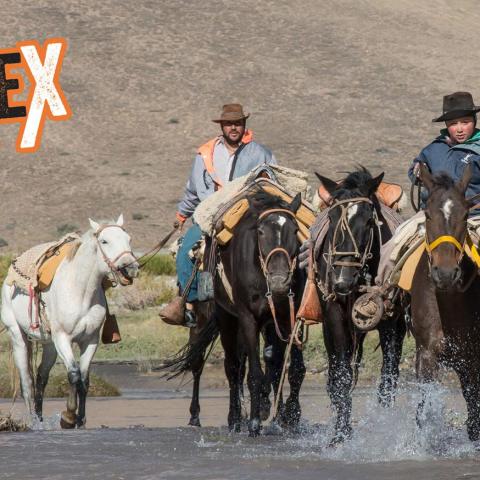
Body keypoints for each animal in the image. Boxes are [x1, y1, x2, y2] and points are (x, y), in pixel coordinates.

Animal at [1, 215, 140, 428]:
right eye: (104, 241)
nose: (129, 269)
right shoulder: (63, 339)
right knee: (27, 382)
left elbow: (84, 379)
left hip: (49, 345)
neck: (80, 290)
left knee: (41, 378)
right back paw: (34, 421)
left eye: (129, 239)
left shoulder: (90, 340)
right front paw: (68, 417)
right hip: (18, 337)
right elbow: (74, 374)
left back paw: (40, 418)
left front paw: (80, 420)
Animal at [316, 170, 406, 446]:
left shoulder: (389, 323)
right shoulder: (334, 317)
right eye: (332, 218)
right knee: (334, 372)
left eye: (368, 222)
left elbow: (388, 375)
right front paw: (341, 434)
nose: (342, 281)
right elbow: (342, 375)